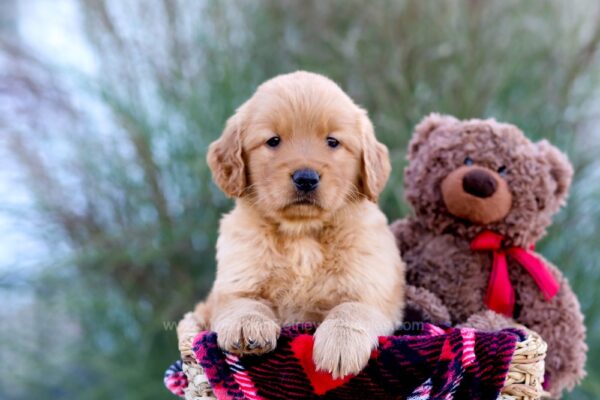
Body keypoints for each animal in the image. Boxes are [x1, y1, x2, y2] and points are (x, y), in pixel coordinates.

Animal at [200, 72, 404, 378]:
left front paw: (341, 344)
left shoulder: (372, 290)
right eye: (273, 141)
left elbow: (350, 309)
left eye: (332, 141)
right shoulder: (234, 284)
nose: (306, 178)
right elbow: (243, 302)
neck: (302, 235)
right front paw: (246, 325)